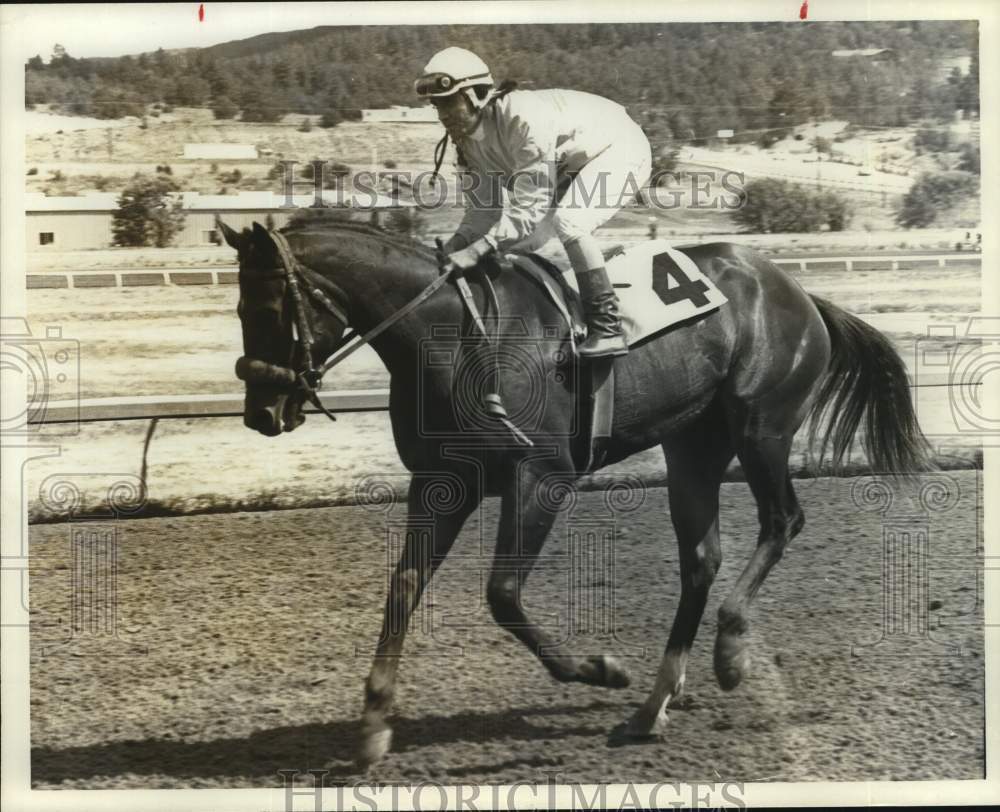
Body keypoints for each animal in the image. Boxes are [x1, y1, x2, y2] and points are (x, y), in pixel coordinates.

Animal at [218, 217, 930, 767]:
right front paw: (371, 727)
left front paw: (600, 669)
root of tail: (797, 290)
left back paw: (729, 653)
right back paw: (652, 707)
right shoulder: (441, 483)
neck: (451, 338)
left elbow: (503, 595)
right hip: (692, 447)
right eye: (239, 310)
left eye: (274, 310)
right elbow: (403, 587)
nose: (262, 413)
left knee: (783, 520)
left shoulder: (542, 477)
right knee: (701, 560)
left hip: (762, 426)